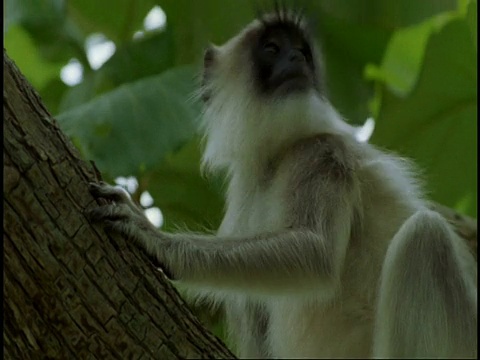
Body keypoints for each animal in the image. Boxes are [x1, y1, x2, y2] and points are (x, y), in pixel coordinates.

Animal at [88, 7, 478, 358]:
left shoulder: (321, 154)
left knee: (424, 236)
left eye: (302, 51)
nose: (296, 58)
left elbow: (316, 252)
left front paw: (155, 239)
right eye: (273, 48)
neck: (272, 161)